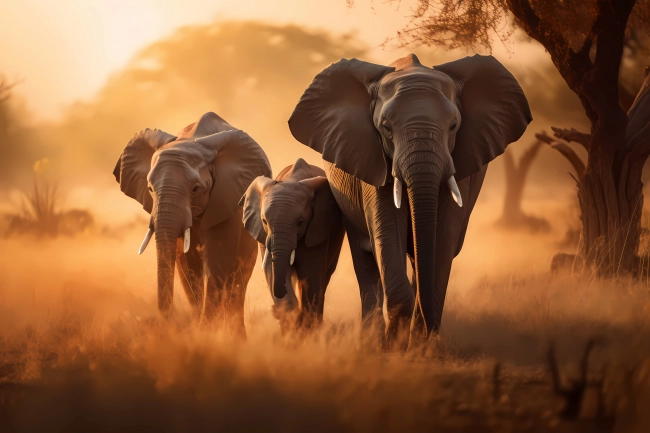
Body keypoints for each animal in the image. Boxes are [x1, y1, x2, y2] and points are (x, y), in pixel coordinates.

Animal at [112, 112, 270, 334]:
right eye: (150, 188)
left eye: (195, 189)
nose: (165, 324)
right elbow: (186, 268)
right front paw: (200, 331)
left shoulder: (226, 199)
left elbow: (217, 260)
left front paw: (208, 332)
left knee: (238, 280)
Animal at [239, 157, 344, 330]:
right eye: (264, 221)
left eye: (300, 222)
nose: (273, 311)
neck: (291, 180)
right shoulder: (264, 235)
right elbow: (272, 270)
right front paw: (291, 323)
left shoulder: (316, 227)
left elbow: (311, 275)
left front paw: (303, 329)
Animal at [286, 54, 528, 342]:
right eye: (386, 128)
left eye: (454, 126)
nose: (427, 334)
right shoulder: (372, 163)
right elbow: (388, 234)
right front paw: (395, 345)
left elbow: (442, 240)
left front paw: (421, 345)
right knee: (365, 262)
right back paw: (372, 338)